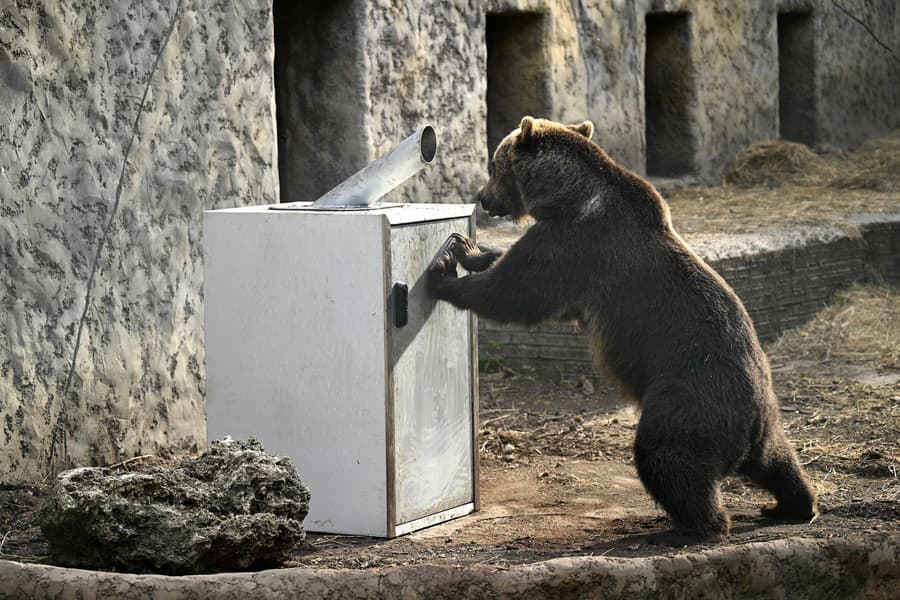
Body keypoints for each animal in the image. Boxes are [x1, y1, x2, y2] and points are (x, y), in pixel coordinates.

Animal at [428, 116, 816, 544]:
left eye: (493, 165)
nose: (483, 198)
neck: (567, 195)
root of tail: (750, 421)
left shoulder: (577, 243)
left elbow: (518, 290)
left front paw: (445, 272)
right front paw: (471, 249)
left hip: (687, 398)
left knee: (667, 459)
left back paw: (693, 527)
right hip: (764, 420)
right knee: (779, 462)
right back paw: (792, 505)